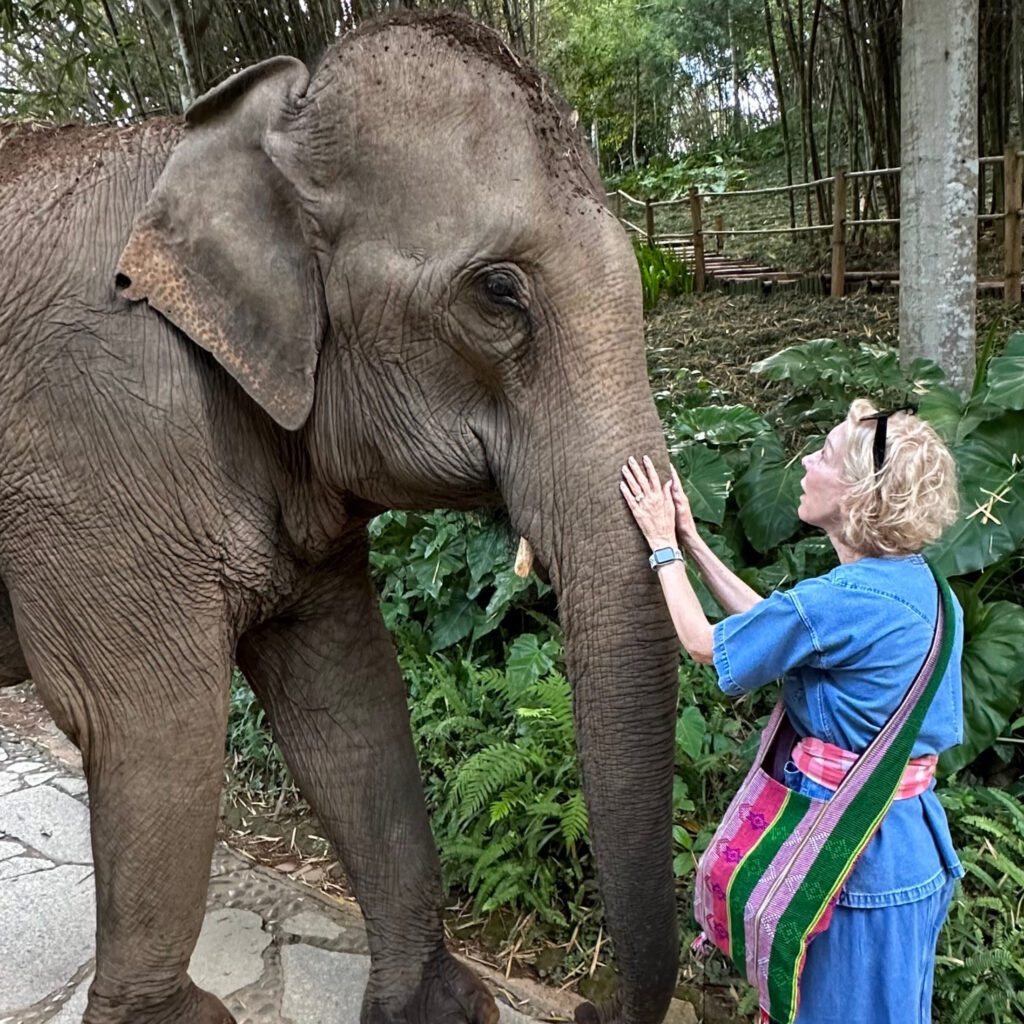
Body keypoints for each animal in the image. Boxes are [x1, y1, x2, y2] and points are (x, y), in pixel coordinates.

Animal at [2, 9, 679, 1024]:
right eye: (500, 293)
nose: (591, 1007)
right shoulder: (89, 443)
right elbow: (150, 725)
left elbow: (346, 691)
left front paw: (438, 1008)